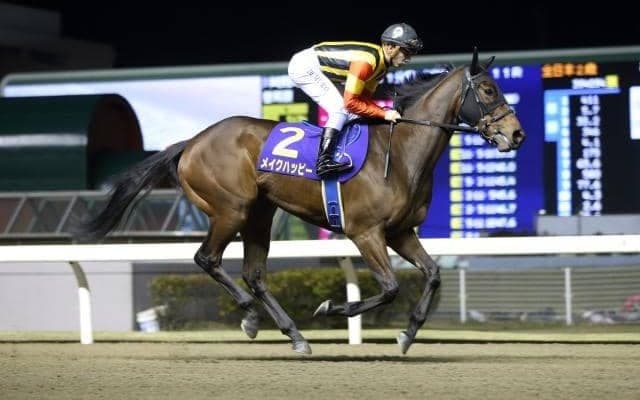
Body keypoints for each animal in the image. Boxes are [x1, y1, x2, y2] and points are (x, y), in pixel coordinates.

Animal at [75, 48, 525, 355]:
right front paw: (331, 309)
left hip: (260, 213)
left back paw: (294, 335)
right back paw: (250, 316)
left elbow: (431, 275)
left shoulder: (400, 232)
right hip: (231, 209)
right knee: (208, 259)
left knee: (254, 274)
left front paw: (407, 334)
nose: (517, 134)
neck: (399, 153)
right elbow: (390, 287)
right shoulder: (365, 232)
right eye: (488, 89)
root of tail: (191, 142)